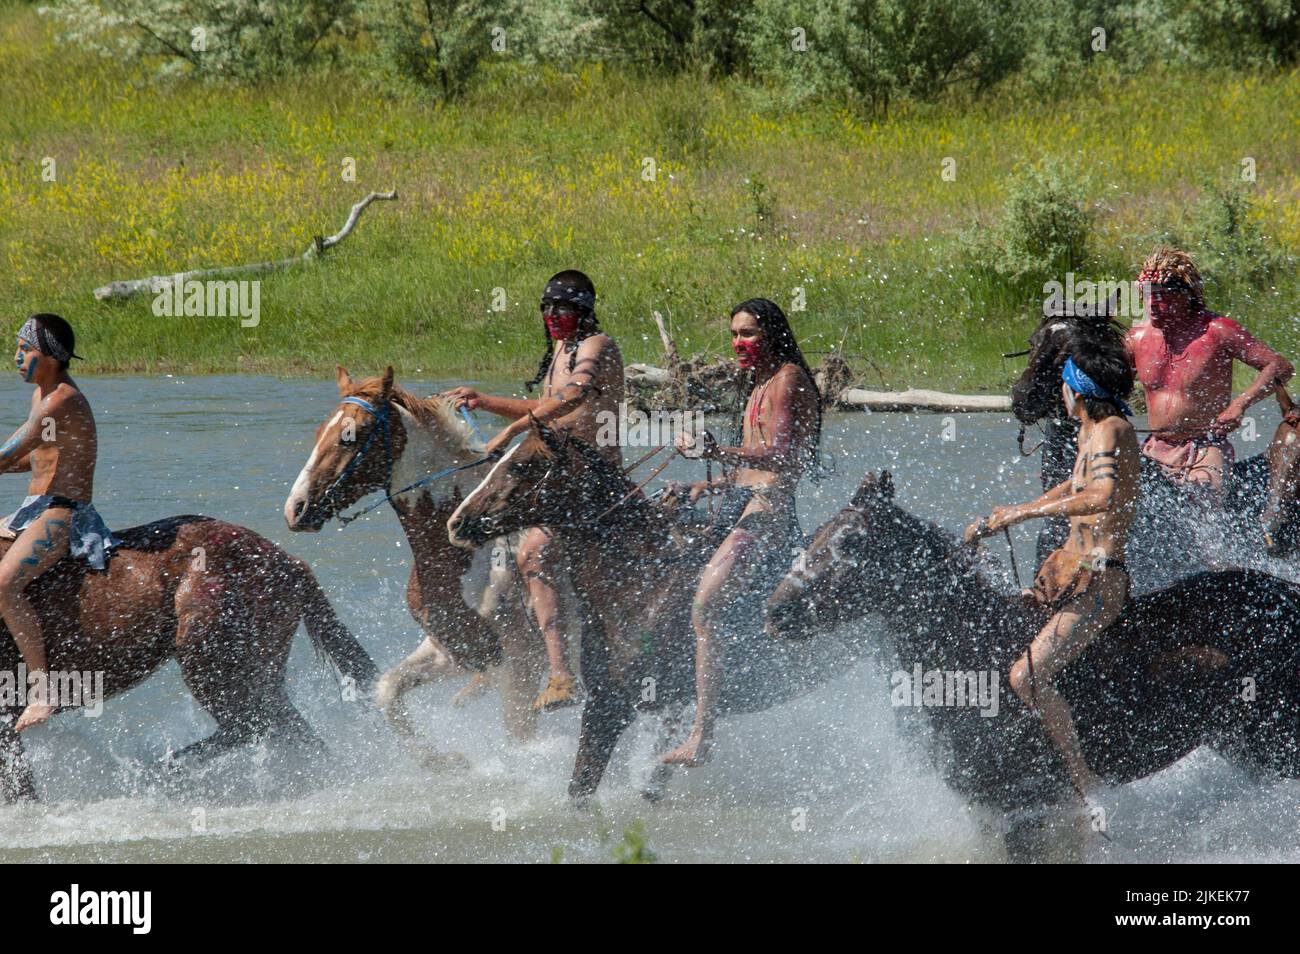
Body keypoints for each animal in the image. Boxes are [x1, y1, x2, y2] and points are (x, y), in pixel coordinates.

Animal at [1, 512, 377, 805]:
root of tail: (290, 562)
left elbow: (18, 786)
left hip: (210, 657)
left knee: (251, 725)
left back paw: (157, 772)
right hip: (258, 668)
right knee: (286, 727)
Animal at [284, 369, 548, 753]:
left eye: (351, 437)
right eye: (320, 432)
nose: (296, 508)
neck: (474, 554)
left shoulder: (521, 661)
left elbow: (520, 736)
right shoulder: (457, 649)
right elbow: (388, 689)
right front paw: (445, 761)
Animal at [447, 421, 873, 805]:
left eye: (520, 466)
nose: (457, 522)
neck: (644, 582)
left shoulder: (642, 706)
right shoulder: (606, 700)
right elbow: (589, 789)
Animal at [759, 475, 1300, 863]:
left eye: (851, 544)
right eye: (819, 533)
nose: (774, 612)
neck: (974, 659)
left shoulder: (1025, 806)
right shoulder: (993, 811)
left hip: (1276, 743)